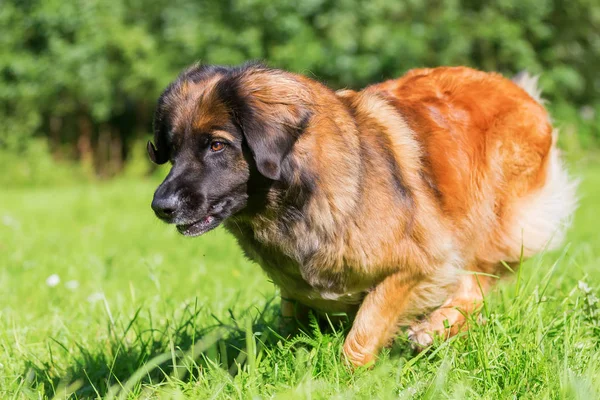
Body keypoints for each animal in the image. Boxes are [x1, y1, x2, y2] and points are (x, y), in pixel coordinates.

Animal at [149, 62, 576, 366]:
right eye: (172, 149)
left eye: (217, 145)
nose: (160, 207)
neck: (308, 191)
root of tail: (518, 91)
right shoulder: (296, 289)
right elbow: (290, 317)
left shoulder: (420, 263)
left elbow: (364, 329)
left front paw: (351, 375)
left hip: (485, 221)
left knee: (475, 285)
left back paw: (432, 329)